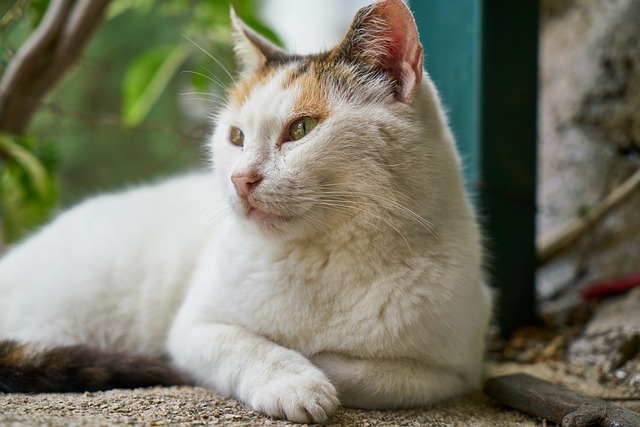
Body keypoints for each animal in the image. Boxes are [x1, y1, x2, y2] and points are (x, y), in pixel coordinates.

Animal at [0, 0, 492, 422]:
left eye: (302, 128)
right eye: (235, 137)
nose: (241, 179)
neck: (322, 259)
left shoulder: (453, 372)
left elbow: (362, 370)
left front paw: (317, 365)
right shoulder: (194, 330)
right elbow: (249, 345)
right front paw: (296, 383)